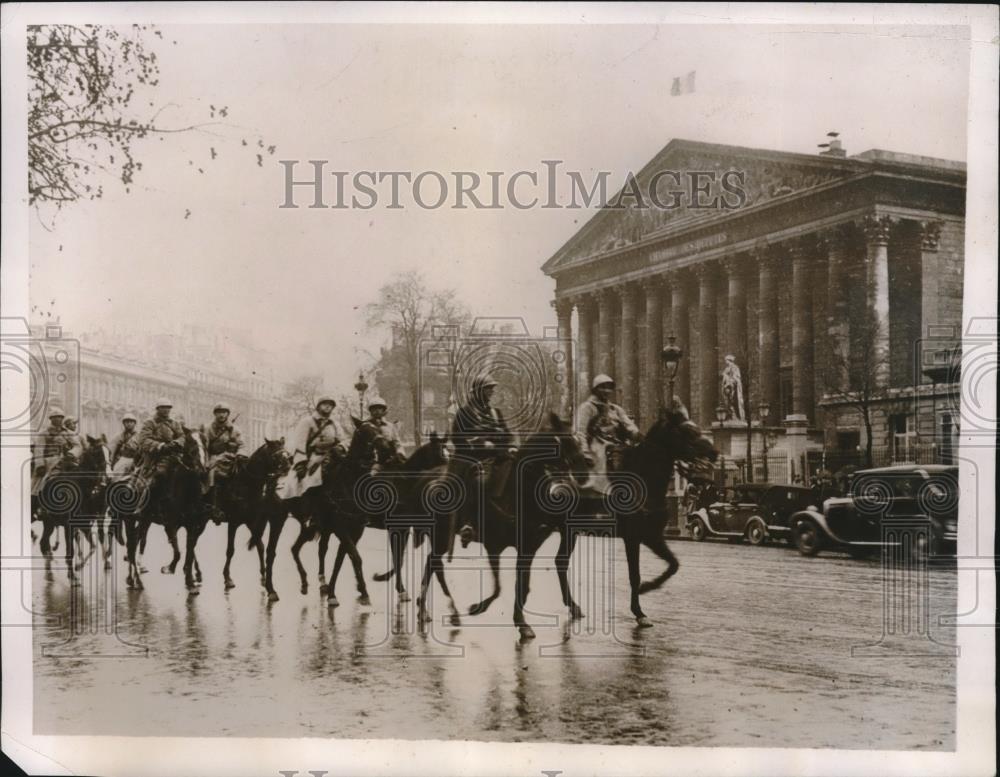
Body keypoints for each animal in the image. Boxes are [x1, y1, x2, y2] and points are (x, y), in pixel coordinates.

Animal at [111, 428, 213, 592]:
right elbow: (178, 552)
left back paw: (131, 578)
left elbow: (190, 552)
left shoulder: (192, 526)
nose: (204, 470)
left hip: (144, 520)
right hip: (129, 520)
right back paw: (137, 580)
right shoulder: (170, 525)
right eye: (191, 445)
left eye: (205, 443)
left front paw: (190, 581)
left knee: (136, 541)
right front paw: (169, 568)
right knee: (131, 546)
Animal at [564, 410, 720, 628]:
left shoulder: (652, 536)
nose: (715, 452)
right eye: (688, 433)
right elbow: (634, 575)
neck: (644, 479)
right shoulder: (633, 537)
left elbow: (673, 565)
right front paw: (638, 611)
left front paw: (647, 588)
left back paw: (573, 607)